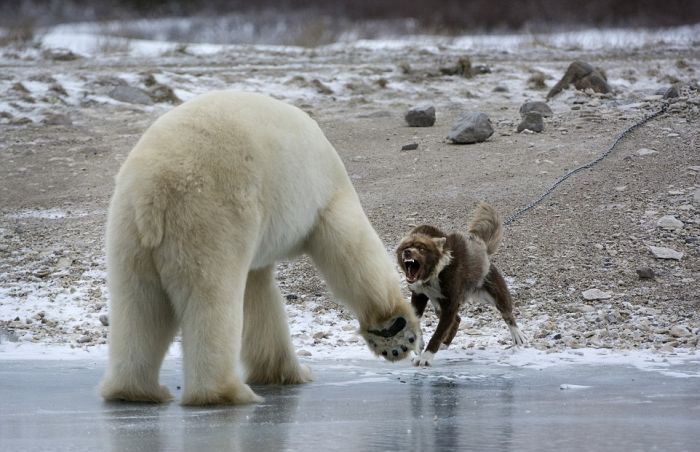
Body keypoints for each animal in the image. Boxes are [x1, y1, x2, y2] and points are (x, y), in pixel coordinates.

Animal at [100, 90, 422, 404]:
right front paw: (394, 331)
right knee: (212, 297)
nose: (399, 347)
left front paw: (283, 372)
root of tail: (154, 193)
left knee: (139, 305)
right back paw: (226, 392)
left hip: (129, 234)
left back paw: (137, 391)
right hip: (209, 218)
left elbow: (258, 295)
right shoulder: (324, 195)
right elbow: (349, 247)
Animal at [394, 203, 524, 366]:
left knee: (507, 313)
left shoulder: (451, 303)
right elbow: (416, 320)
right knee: (457, 320)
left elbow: (438, 333)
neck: (435, 273)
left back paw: (517, 335)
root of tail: (483, 249)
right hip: (438, 305)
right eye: (406, 247)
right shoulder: (419, 295)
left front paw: (426, 357)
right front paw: (419, 343)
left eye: (421, 248)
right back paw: (445, 344)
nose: (407, 252)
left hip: (494, 293)